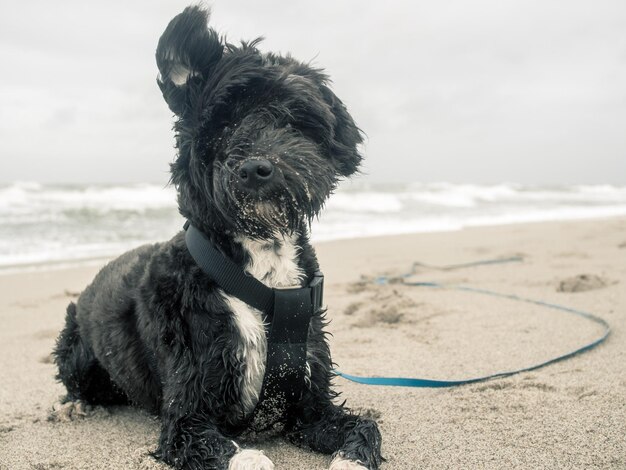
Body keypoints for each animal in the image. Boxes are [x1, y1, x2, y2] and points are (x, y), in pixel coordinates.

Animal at [53, 7, 382, 470]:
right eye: (224, 123)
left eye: (291, 119)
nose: (256, 169)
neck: (261, 275)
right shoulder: (185, 417)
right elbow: (240, 455)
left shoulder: (310, 406)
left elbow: (365, 425)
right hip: (75, 348)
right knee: (76, 383)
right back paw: (73, 405)